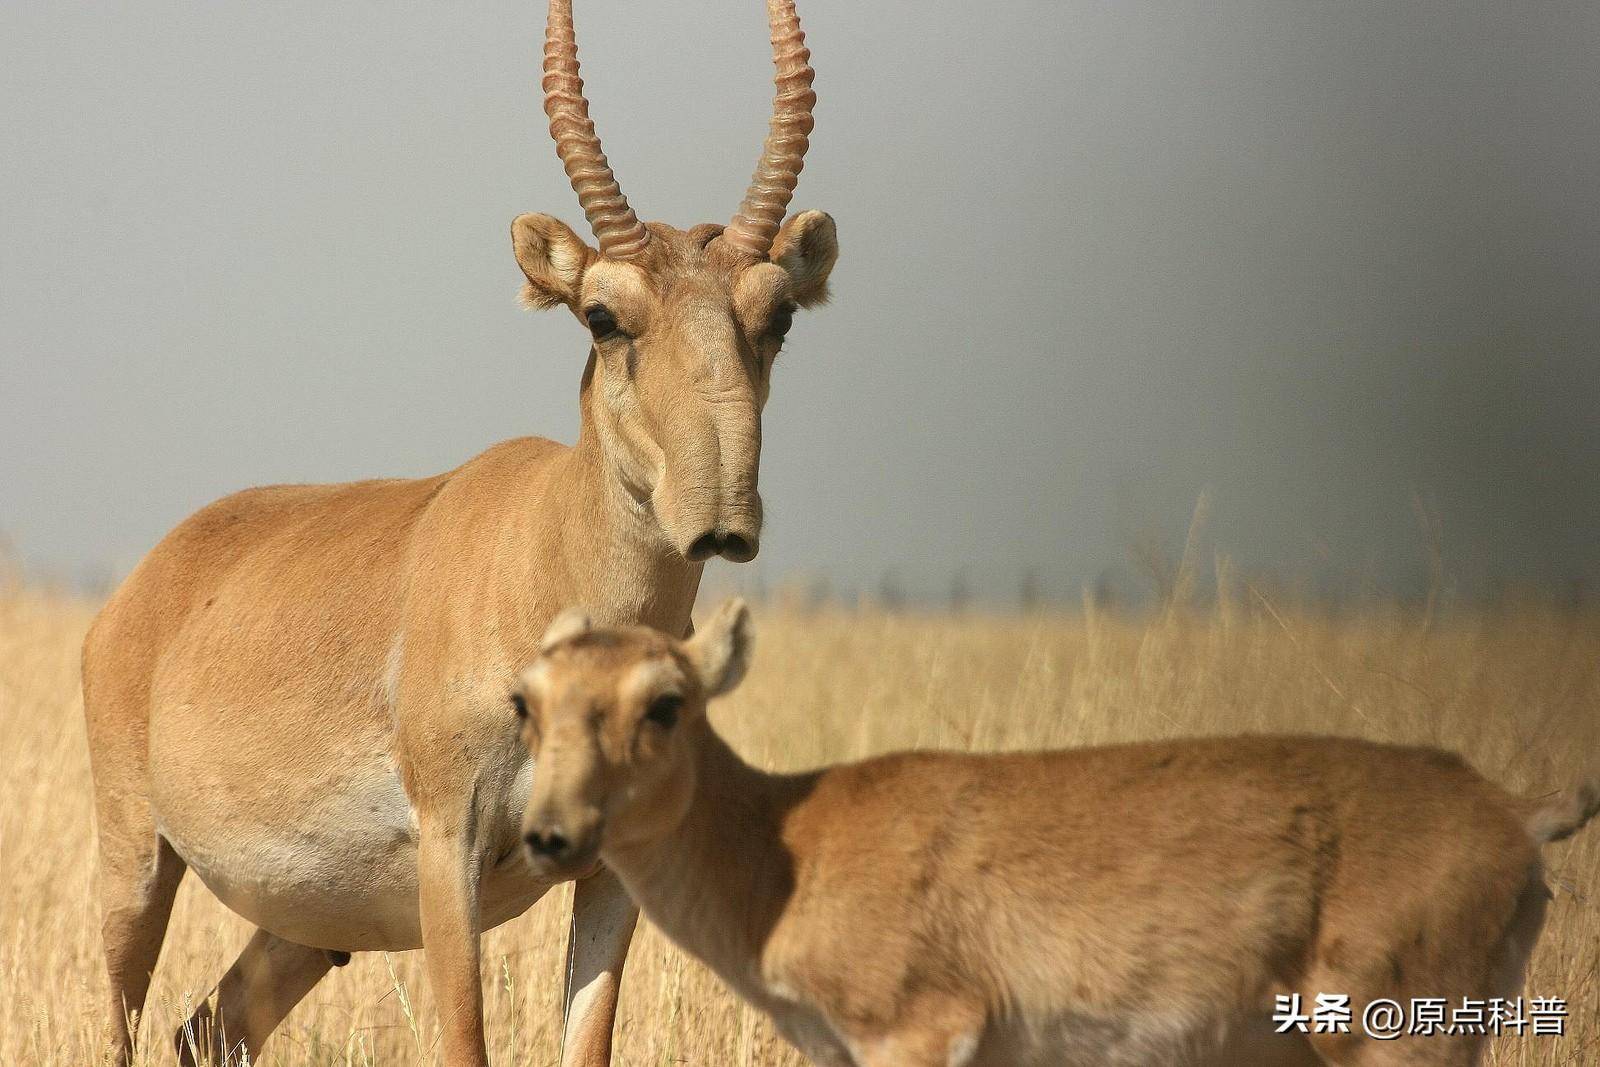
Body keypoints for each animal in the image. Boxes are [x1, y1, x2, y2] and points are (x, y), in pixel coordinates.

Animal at [78, 4, 838, 1062]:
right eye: (602, 315)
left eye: (778, 316)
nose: (721, 515)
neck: (540, 547)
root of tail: (143, 587)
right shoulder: (452, 852)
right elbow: (466, 1039)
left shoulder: (612, 870)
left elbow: (588, 1038)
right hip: (136, 866)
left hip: (303, 931)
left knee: (206, 1028)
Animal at [515, 601, 1600, 1067]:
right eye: (527, 699)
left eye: (665, 702)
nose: (549, 834)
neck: (788, 842)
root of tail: (1514, 808)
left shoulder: (922, 1032)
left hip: (1392, 1034)